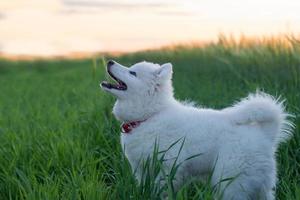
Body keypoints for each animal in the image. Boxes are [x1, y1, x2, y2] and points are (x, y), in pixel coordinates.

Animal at [101, 60, 292, 199]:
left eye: (132, 72)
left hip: (230, 183)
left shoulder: (167, 169)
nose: (110, 61)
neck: (151, 115)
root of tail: (266, 136)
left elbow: (161, 192)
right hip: (259, 187)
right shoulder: (141, 170)